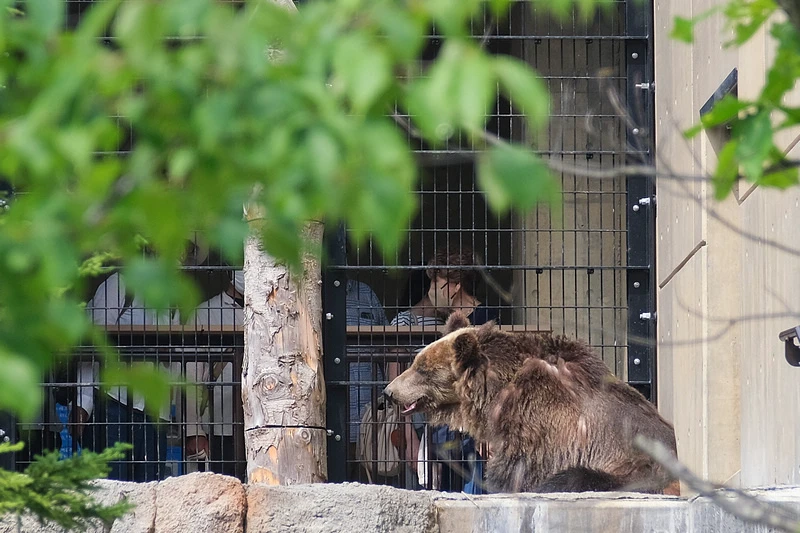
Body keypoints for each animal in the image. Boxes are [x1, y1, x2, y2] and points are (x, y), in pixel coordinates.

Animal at [383, 312, 679, 494]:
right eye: (415, 363)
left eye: (422, 369)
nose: (389, 391)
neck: (495, 392)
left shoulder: (539, 420)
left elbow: (516, 467)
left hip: (636, 468)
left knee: (577, 477)